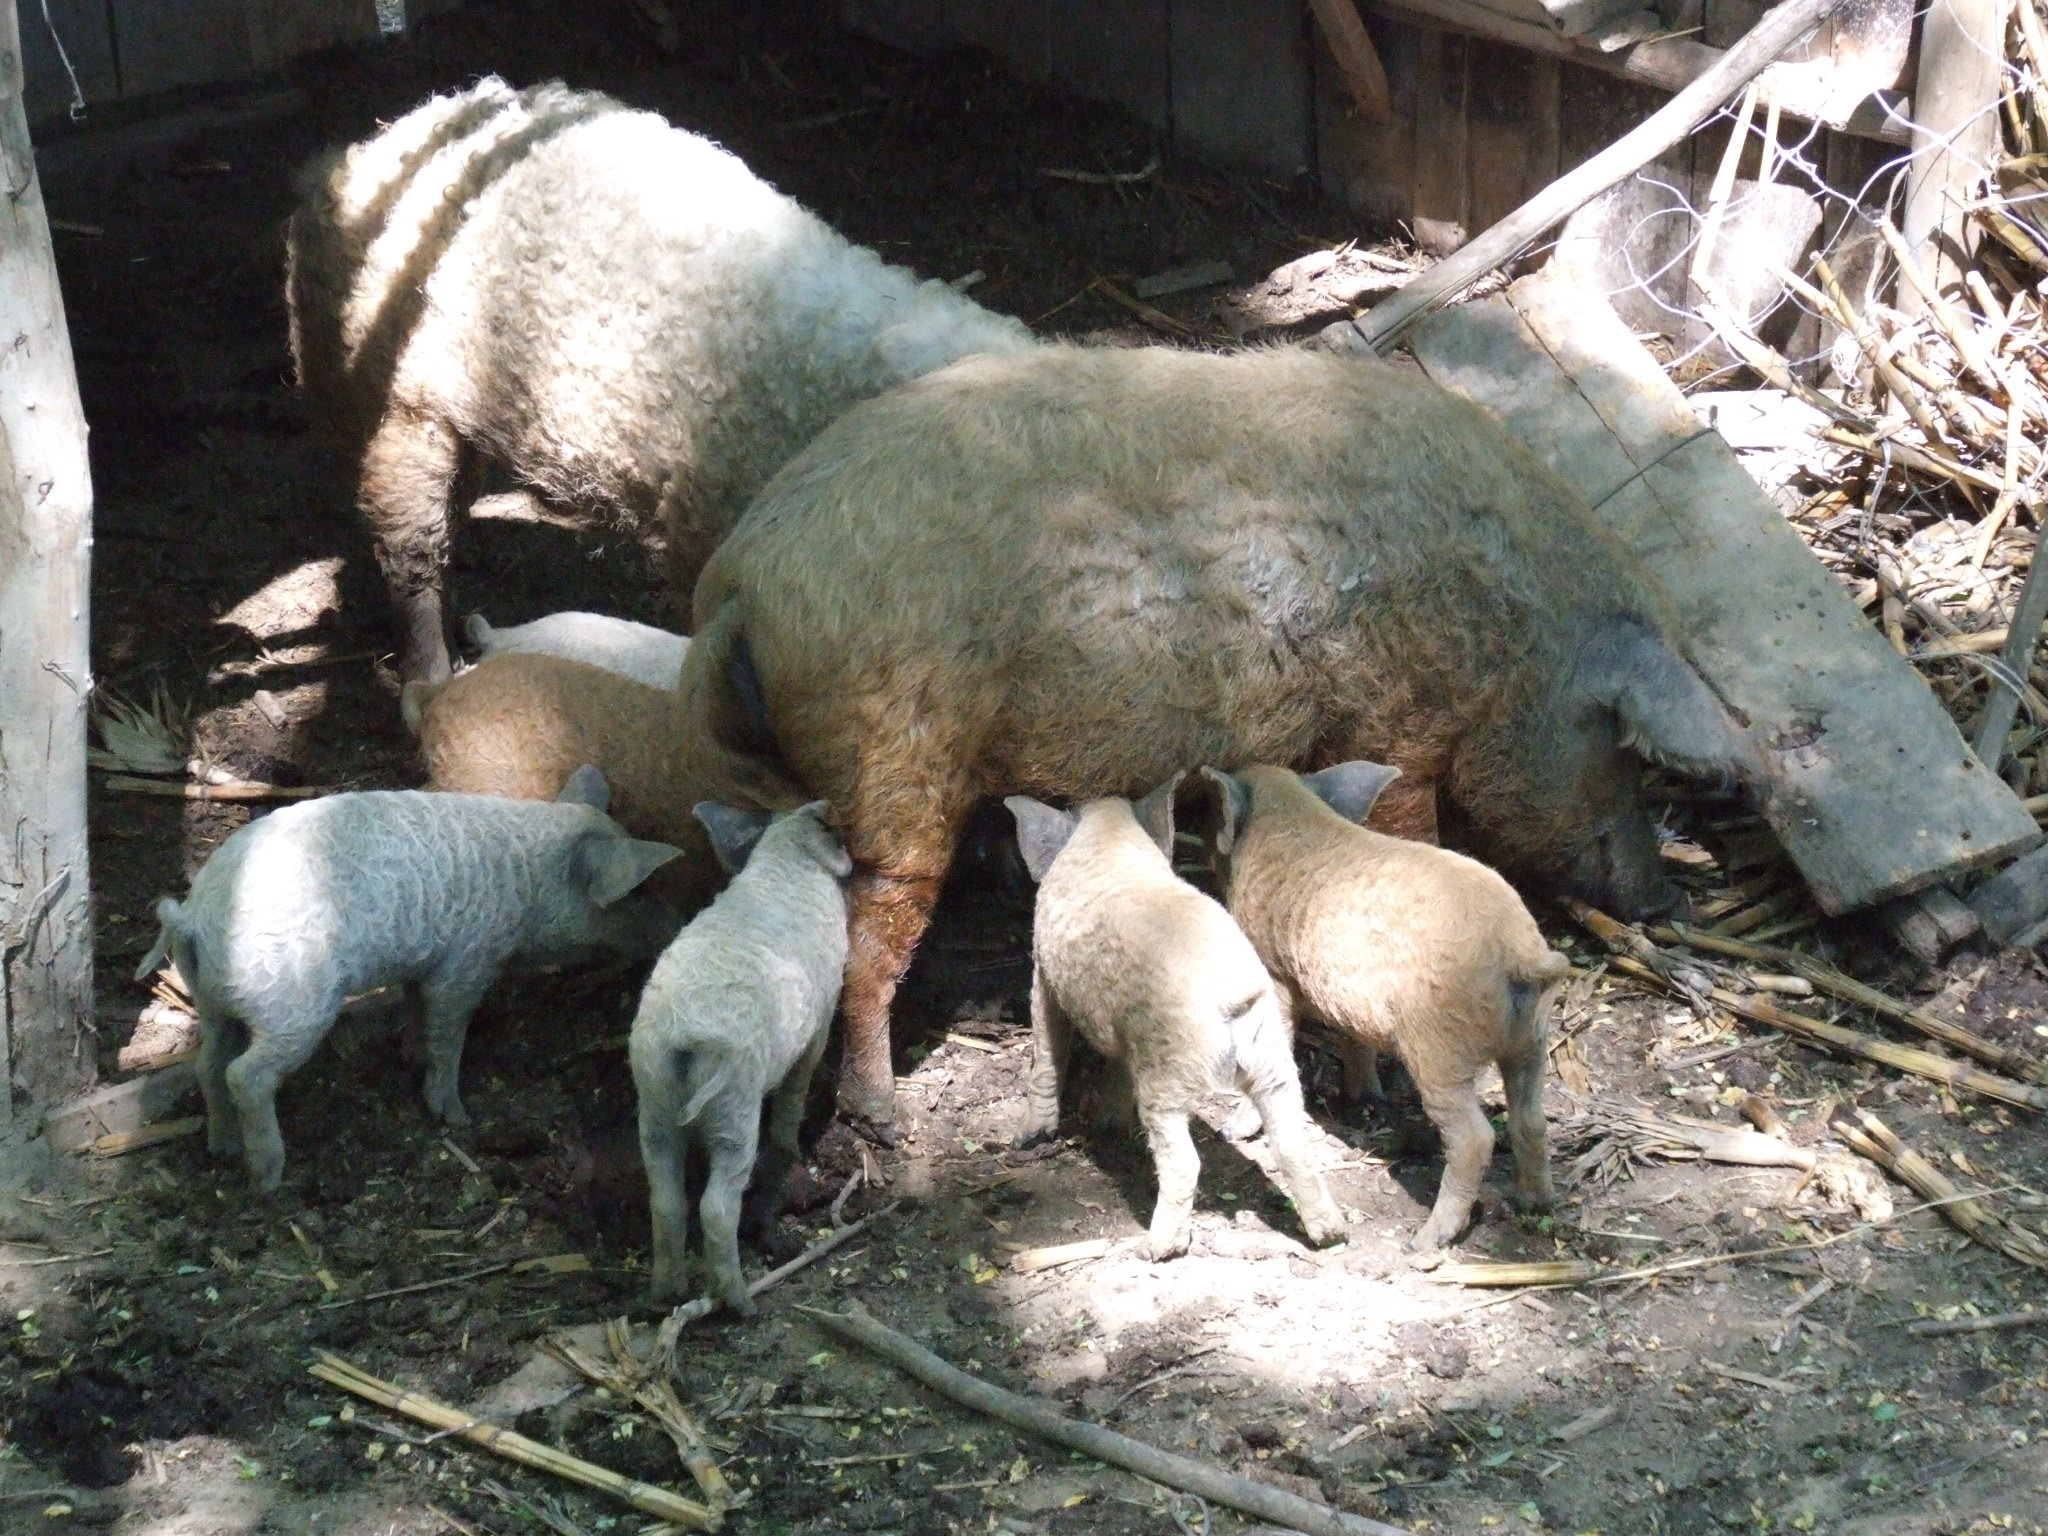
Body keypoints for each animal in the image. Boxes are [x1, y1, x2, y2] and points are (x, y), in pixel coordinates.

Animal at [134, 767, 682, 1191]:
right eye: (635, 892)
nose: (674, 928)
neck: (528, 885)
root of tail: (194, 915)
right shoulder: (466, 962)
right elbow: (449, 1036)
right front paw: (457, 1116)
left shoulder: (427, 962)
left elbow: (419, 1013)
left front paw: (410, 1055)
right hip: (295, 1008)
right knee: (244, 1075)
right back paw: (267, 1178)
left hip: (212, 1000)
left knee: (208, 1064)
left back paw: (222, 1149)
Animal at [630, 802, 852, 1313]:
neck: (784, 858)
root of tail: (684, 1035)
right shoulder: (823, 1012)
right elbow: (798, 1084)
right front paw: (792, 1145)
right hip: (733, 1106)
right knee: (715, 1206)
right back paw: (743, 1304)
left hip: (654, 1099)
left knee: (665, 1199)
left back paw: (664, 1293)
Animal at [674, 344, 1758, 1139]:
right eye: (1623, 747)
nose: (1663, 897)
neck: (1518, 638)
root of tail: (742, 574)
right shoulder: (1398, 717)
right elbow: (1413, 825)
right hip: (895, 760)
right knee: (868, 942)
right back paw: (888, 1123)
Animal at [1004, 774, 1344, 1261]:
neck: (1109, 830)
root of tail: (1232, 993)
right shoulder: (1124, 1033)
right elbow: (1114, 1072)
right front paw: (1107, 1126)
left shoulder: (1044, 971)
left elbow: (1047, 1044)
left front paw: (1025, 1138)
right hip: (1273, 1055)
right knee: (1294, 1142)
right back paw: (1332, 1235)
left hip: (1166, 1069)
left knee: (1184, 1160)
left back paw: (1154, 1249)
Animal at [1203, 761, 1569, 1253]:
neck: (1288, 810)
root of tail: (1521, 954)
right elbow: (1354, 1039)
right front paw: (1363, 1097)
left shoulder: (1273, 974)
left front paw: (1231, 1129)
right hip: (1531, 1043)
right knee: (1532, 1120)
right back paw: (1537, 1203)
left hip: (1439, 1049)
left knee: (1475, 1138)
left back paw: (1424, 1242)